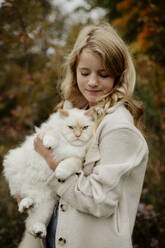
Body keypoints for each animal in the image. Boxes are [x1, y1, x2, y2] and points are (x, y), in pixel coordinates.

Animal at [2, 101, 96, 240]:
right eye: (70, 127)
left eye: (85, 128)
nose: (78, 135)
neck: (70, 144)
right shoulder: (44, 131)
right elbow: (51, 132)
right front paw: (49, 143)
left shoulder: (79, 160)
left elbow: (70, 162)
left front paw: (60, 172)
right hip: (14, 167)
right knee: (21, 196)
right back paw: (25, 204)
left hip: (47, 205)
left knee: (33, 220)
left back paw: (38, 229)